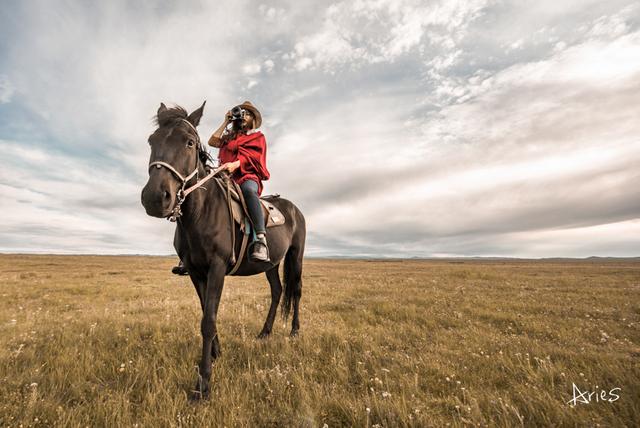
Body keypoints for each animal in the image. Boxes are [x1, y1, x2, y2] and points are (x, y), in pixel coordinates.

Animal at [139, 102, 308, 400]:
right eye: (151, 141)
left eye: (189, 142)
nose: (155, 198)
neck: (201, 211)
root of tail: (293, 208)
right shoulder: (196, 272)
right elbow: (206, 312)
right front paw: (216, 354)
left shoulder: (217, 267)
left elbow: (208, 320)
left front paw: (203, 383)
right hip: (271, 263)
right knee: (277, 291)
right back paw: (265, 333)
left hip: (295, 256)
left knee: (295, 291)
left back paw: (294, 331)